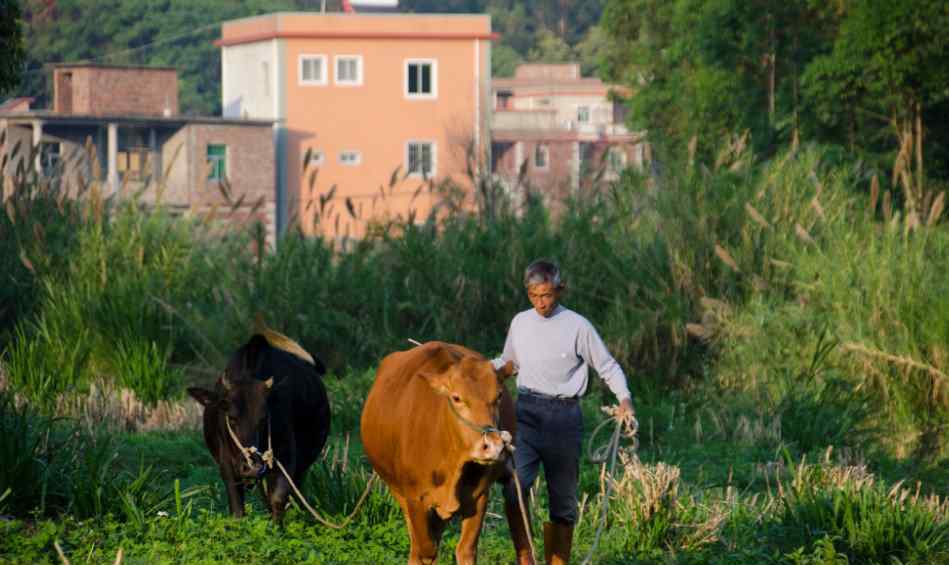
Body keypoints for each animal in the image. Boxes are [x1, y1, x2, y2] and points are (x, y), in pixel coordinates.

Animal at [187, 330, 332, 520]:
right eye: (231, 418)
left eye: (264, 419)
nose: (251, 467)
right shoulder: (227, 466)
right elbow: (237, 509)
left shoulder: (286, 459)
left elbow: (277, 499)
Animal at [362, 342, 528, 560]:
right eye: (456, 398)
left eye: (499, 395)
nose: (492, 446)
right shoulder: (415, 500)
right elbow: (425, 551)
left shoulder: (480, 496)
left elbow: (466, 549)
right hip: (398, 492)